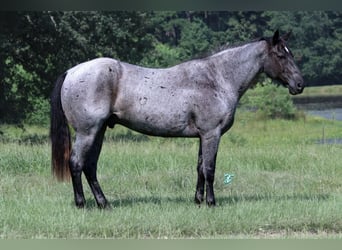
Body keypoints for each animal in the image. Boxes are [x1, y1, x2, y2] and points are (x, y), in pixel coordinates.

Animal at [50, 30, 304, 208]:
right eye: (281, 54)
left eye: (291, 52)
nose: (300, 84)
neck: (217, 78)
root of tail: (72, 72)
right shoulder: (212, 134)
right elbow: (210, 168)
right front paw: (211, 202)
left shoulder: (203, 135)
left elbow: (200, 167)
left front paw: (198, 200)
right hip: (87, 132)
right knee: (76, 163)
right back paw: (82, 204)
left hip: (99, 131)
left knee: (90, 166)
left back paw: (104, 203)